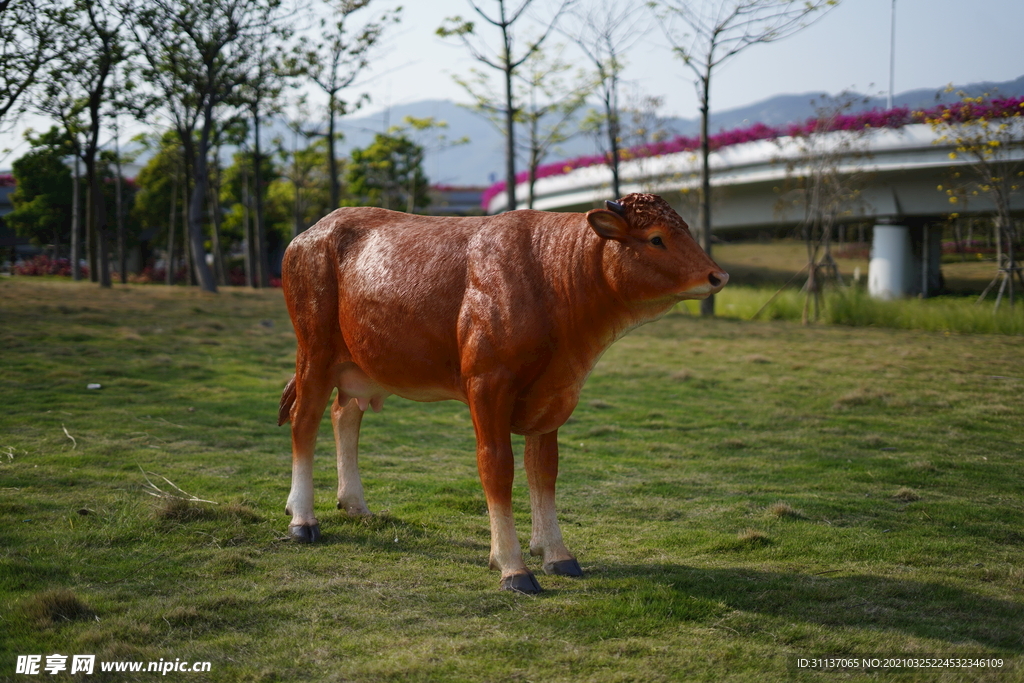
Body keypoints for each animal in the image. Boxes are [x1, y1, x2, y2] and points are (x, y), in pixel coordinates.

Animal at [278, 192, 729, 593]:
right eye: (656, 238)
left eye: (686, 230)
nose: (718, 276)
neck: (552, 277)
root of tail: (315, 229)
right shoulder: (487, 383)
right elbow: (497, 467)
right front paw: (512, 565)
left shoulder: (553, 393)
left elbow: (544, 470)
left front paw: (556, 552)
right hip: (315, 350)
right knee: (305, 420)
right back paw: (303, 520)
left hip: (363, 364)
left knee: (344, 415)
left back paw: (355, 505)